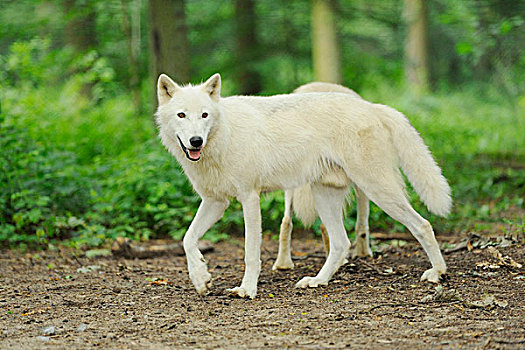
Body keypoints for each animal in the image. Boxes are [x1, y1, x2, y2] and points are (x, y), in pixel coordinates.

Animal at [155, 73, 450, 298]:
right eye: (181, 115)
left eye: (204, 115)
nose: (195, 141)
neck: (223, 137)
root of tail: (371, 106)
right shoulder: (216, 202)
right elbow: (188, 239)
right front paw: (201, 279)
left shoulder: (249, 198)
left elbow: (250, 252)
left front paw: (247, 290)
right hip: (324, 196)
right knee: (341, 243)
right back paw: (317, 281)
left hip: (377, 190)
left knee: (423, 225)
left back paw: (437, 273)